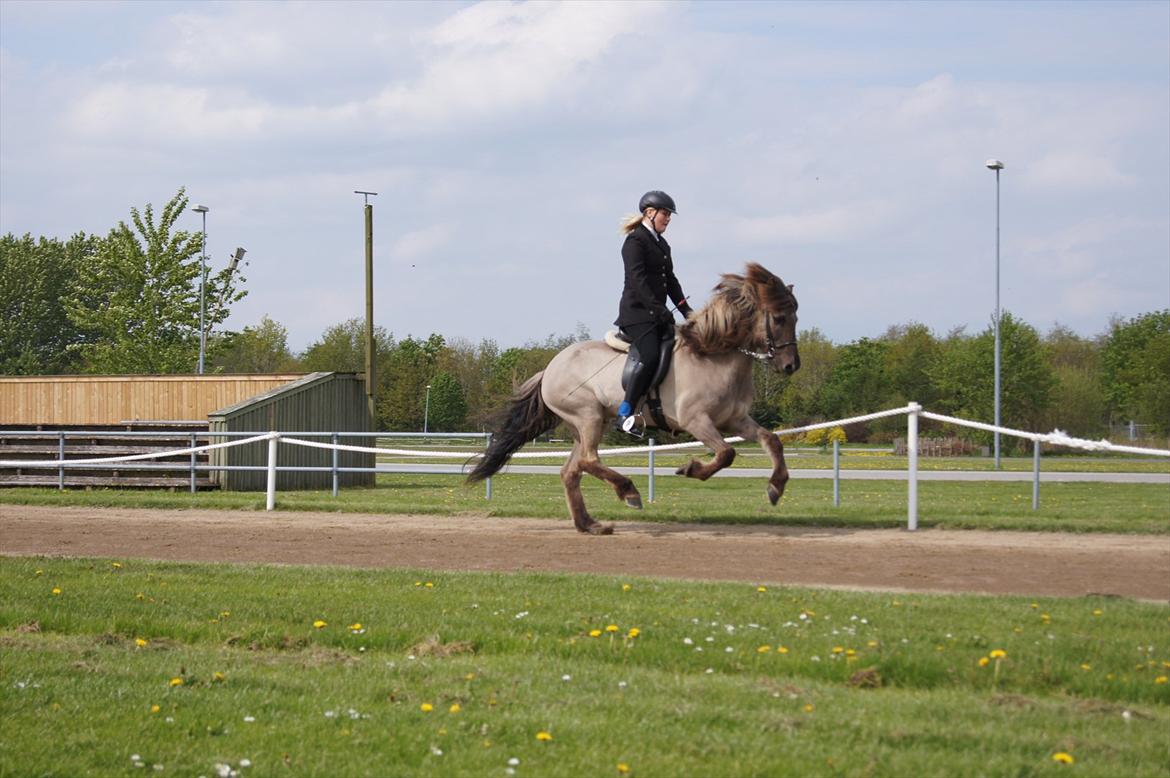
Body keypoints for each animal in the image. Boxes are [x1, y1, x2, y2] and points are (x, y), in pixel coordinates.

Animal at [470, 262, 800, 533]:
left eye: (795, 317)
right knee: (589, 460)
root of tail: (550, 367)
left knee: (572, 471)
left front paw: (776, 487)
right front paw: (691, 469)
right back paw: (628, 491)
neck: (712, 356)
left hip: (587, 424)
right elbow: (726, 454)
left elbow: (771, 440)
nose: (791, 366)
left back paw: (589, 524)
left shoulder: (735, 420)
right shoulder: (696, 421)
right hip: (588, 416)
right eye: (779, 318)